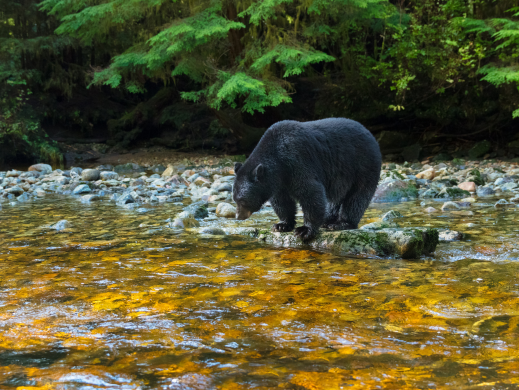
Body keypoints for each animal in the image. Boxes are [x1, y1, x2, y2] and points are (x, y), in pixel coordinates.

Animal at [232, 117, 382, 242]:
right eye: (235, 199)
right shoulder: (279, 181)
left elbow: (310, 192)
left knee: (357, 197)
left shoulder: (298, 160)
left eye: (242, 200)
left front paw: (305, 230)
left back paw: (342, 223)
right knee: (335, 199)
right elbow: (282, 201)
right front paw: (282, 225)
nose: (238, 216)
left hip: (363, 165)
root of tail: (370, 134)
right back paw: (328, 220)